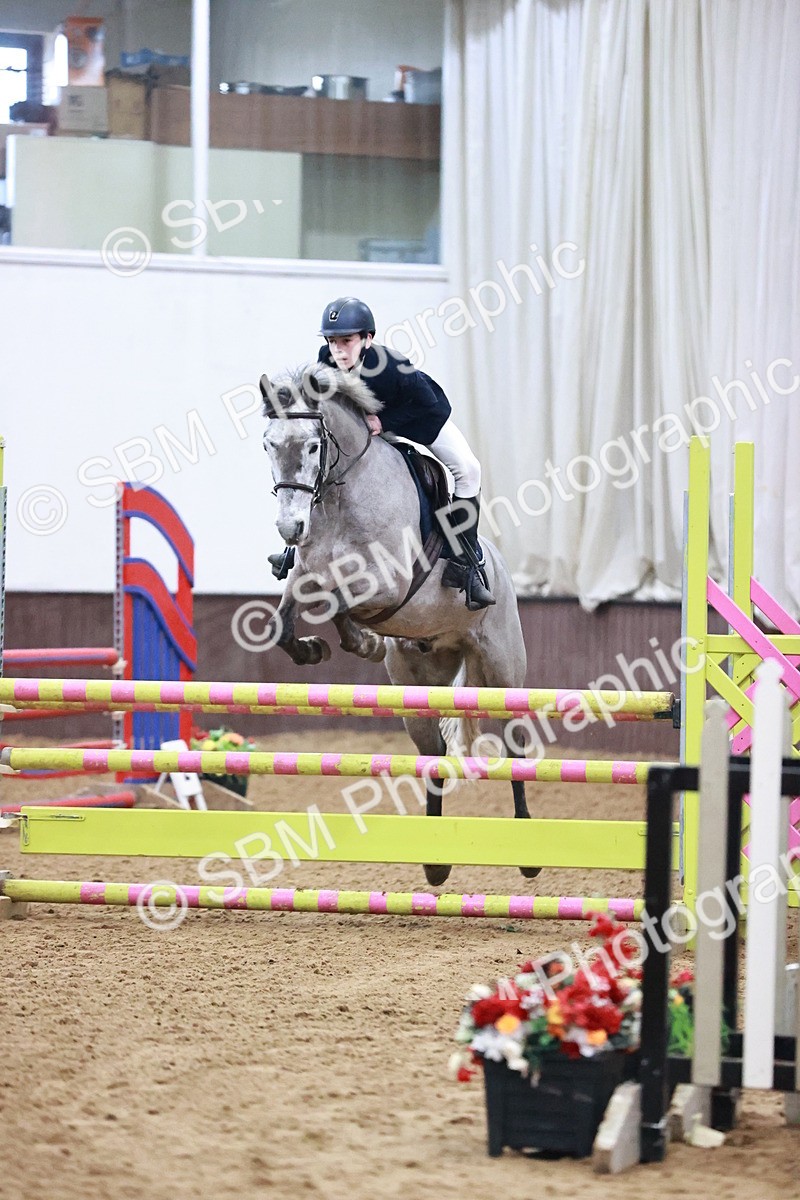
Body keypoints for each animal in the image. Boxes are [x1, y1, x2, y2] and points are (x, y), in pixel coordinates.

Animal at [260, 364, 539, 886]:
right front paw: (312, 649)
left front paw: (362, 643)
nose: (290, 529)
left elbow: (339, 599)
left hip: (503, 675)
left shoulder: (389, 584)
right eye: (269, 444)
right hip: (419, 691)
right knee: (435, 757)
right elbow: (288, 618)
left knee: (516, 750)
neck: (340, 497)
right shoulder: (306, 571)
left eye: (313, 446)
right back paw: (435, 863)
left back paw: (528, 851)